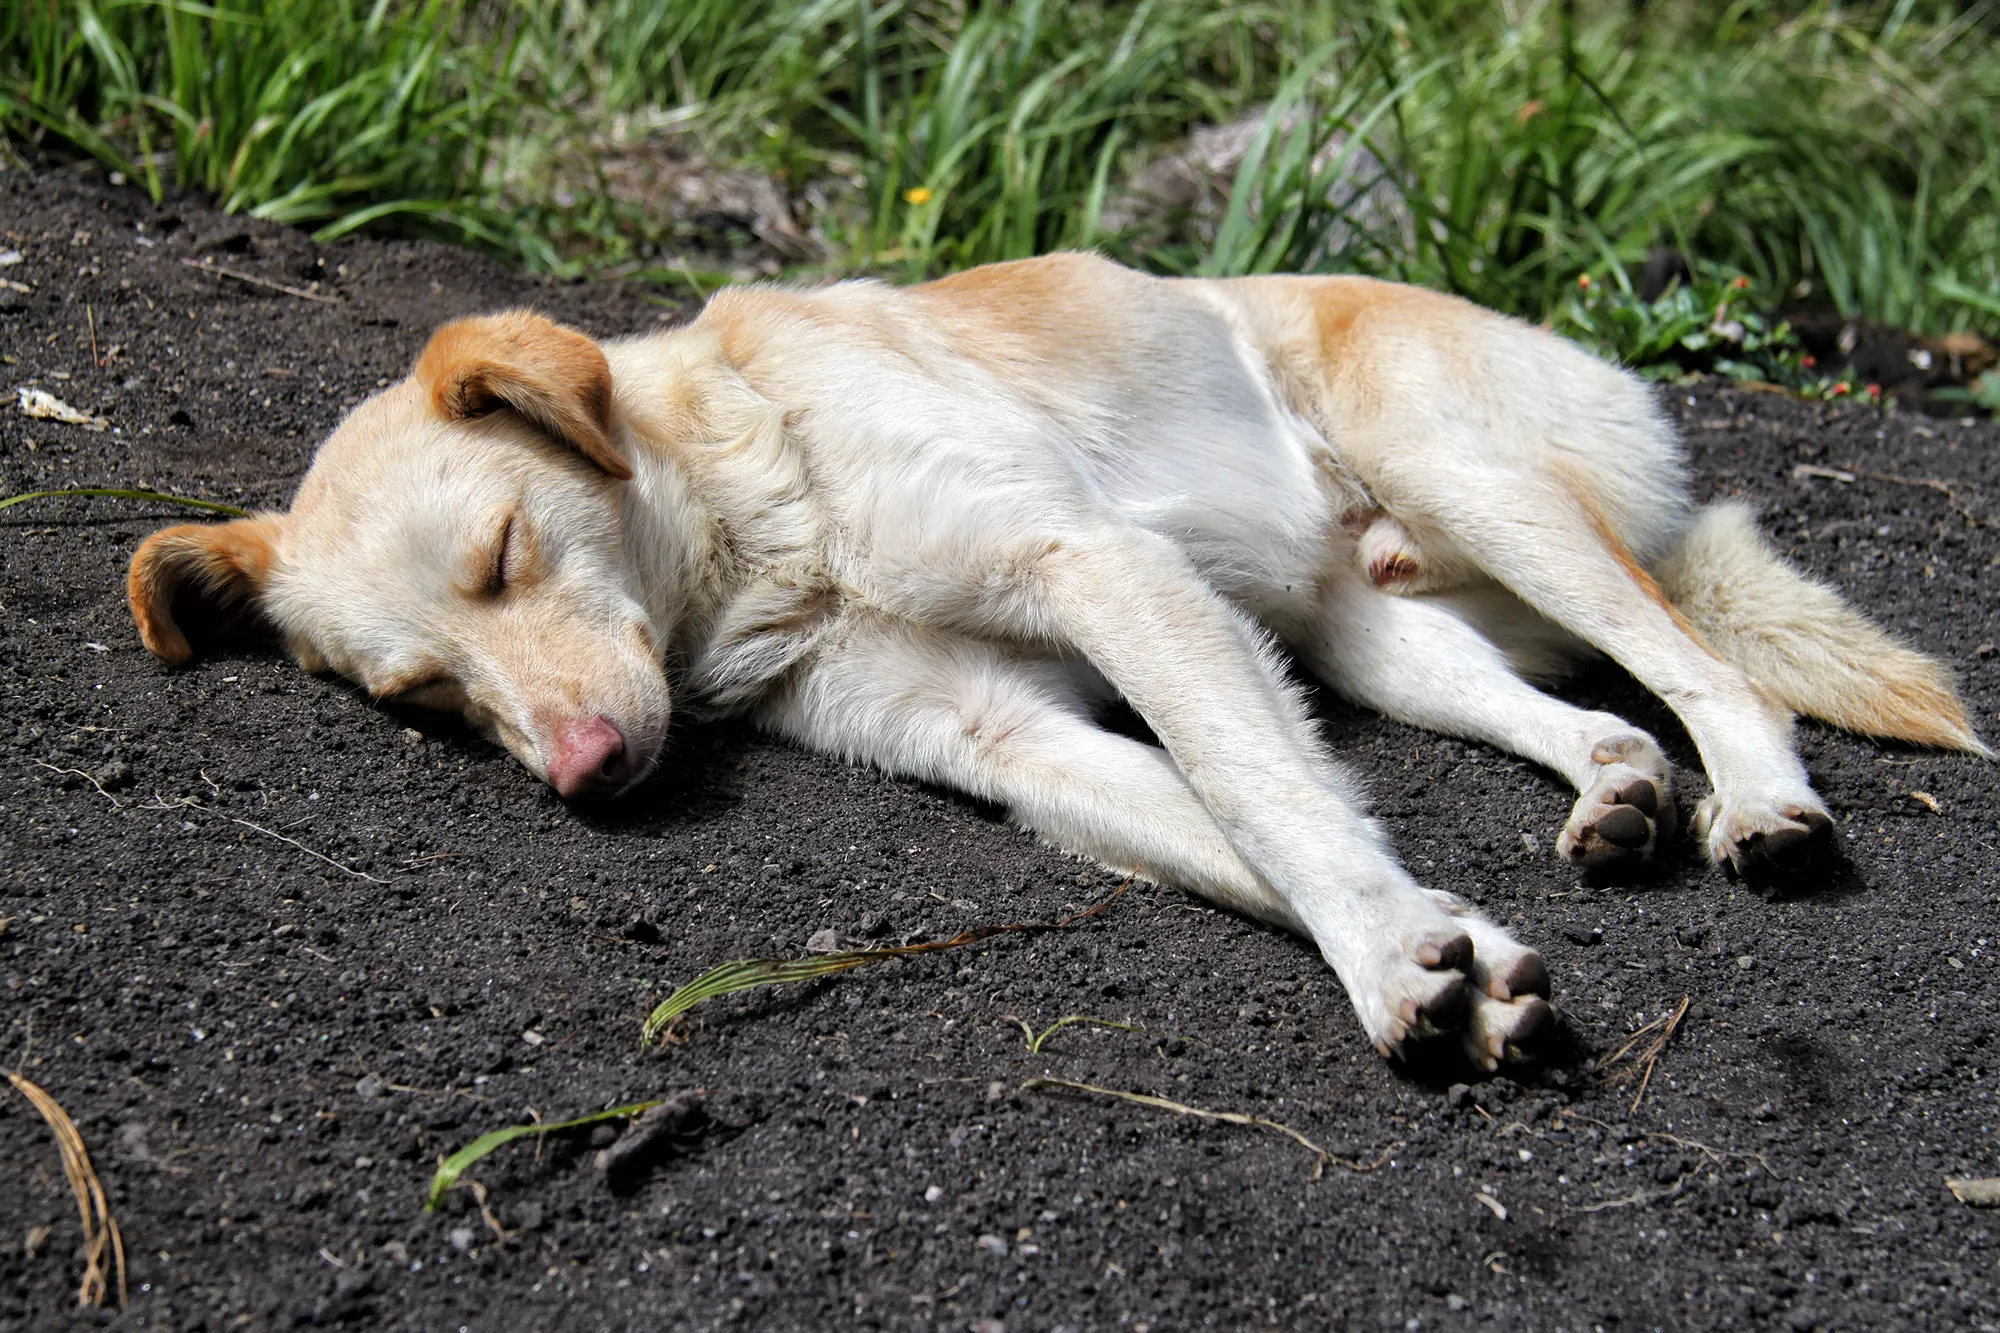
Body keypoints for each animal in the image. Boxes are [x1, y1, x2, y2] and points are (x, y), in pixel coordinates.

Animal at [129, 254, 1984, 1064]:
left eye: (502, 555)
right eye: (424, 699)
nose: (591, 781)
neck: (754, 504)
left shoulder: (1097, 569)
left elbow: (1261, 795)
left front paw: (1391, 966)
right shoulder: (1013, 734)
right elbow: (1246, 829)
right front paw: (1431, 939)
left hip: (1481, 487)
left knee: (1714, 676)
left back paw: (1762, 805)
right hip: (1366, 632)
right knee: (1591, 718)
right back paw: (1620, 797)